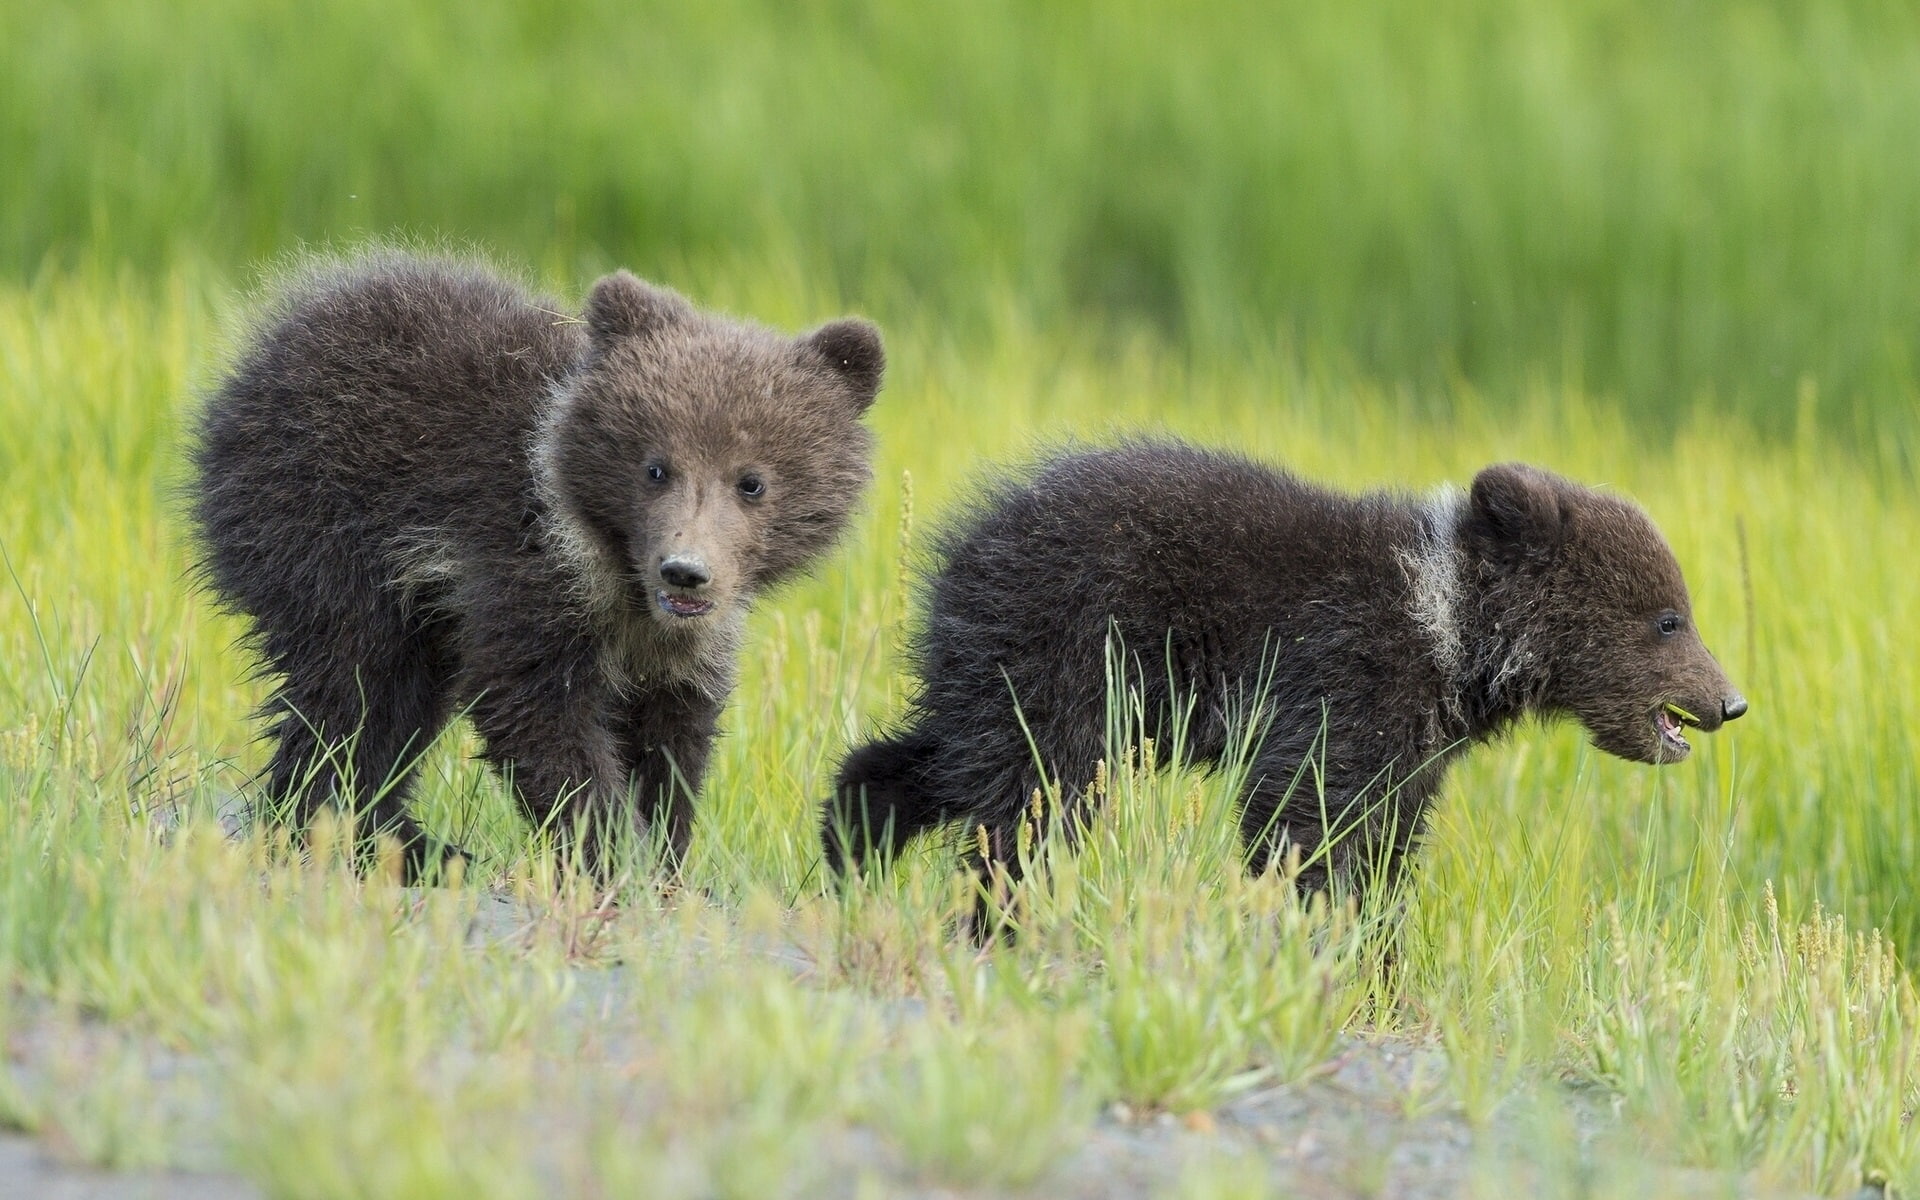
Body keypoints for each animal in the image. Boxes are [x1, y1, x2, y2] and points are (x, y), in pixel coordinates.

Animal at [192, 251, 885, 879]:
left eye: (752, 481)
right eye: (656, 466)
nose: (685, 570)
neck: (617, 573)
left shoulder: (678, 650)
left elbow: (671, 738)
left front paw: (667, 855)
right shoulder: (527, 573)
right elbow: (538, 711)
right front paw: (615, 856)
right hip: (323, 525)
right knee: (354, 684)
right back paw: (358, 838)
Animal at [823, 440, 1746, 912]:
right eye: (1670, 617)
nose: (1731, 701)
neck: (1450, 628)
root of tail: (967, 544)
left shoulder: (1415, 744)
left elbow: (1384, 839)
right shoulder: (1348, 677)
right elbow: (1306, 819)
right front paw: (1315, 932)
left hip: (995, 670)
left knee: (948, 759)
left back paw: (849, 852)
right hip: (1068, 655)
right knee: (1033, 793)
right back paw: (1003, 912)